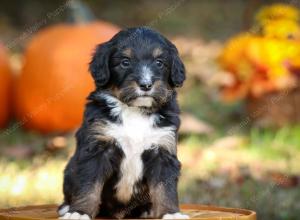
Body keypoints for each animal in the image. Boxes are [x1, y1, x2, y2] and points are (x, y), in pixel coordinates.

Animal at [58, 27, 188, 220]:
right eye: (125, 62)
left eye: (159, 62)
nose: (146, 85)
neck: (135, 111)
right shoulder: (97, 149)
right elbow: (88, 186)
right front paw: (79, 212)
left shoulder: (162, 151)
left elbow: (165, 188)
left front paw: (170, 213)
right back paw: (66, 207)